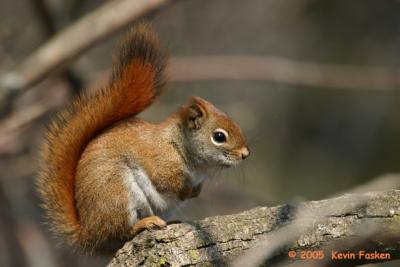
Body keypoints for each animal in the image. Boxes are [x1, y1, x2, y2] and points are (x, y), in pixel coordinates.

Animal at [36, 24, 248, 255]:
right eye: (219, 137)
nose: (245, 154)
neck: (179, 145)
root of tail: (89, 234)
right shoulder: (161, 161)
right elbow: (167, 182)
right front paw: (187, 190)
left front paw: (196, 191)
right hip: (117, 194)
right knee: (120, 231)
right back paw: (144, 223)